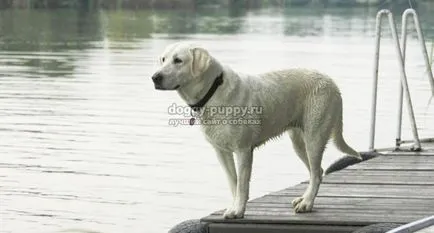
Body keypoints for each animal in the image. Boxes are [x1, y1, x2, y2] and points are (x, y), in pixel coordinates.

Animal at [151, 41, 362, 218]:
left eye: (178, 60)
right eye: (163, 59)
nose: (155, 77)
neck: (213, 91)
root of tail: (331, 82)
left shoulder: (243, 150)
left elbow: (243, 185)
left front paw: (238, 211)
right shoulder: (222, 152)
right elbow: (233, 183)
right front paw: (233, 208)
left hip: (314, 138)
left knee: (317, 173)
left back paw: (307, 204)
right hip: (299, 143)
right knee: (316, 171)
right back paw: (303, 199)